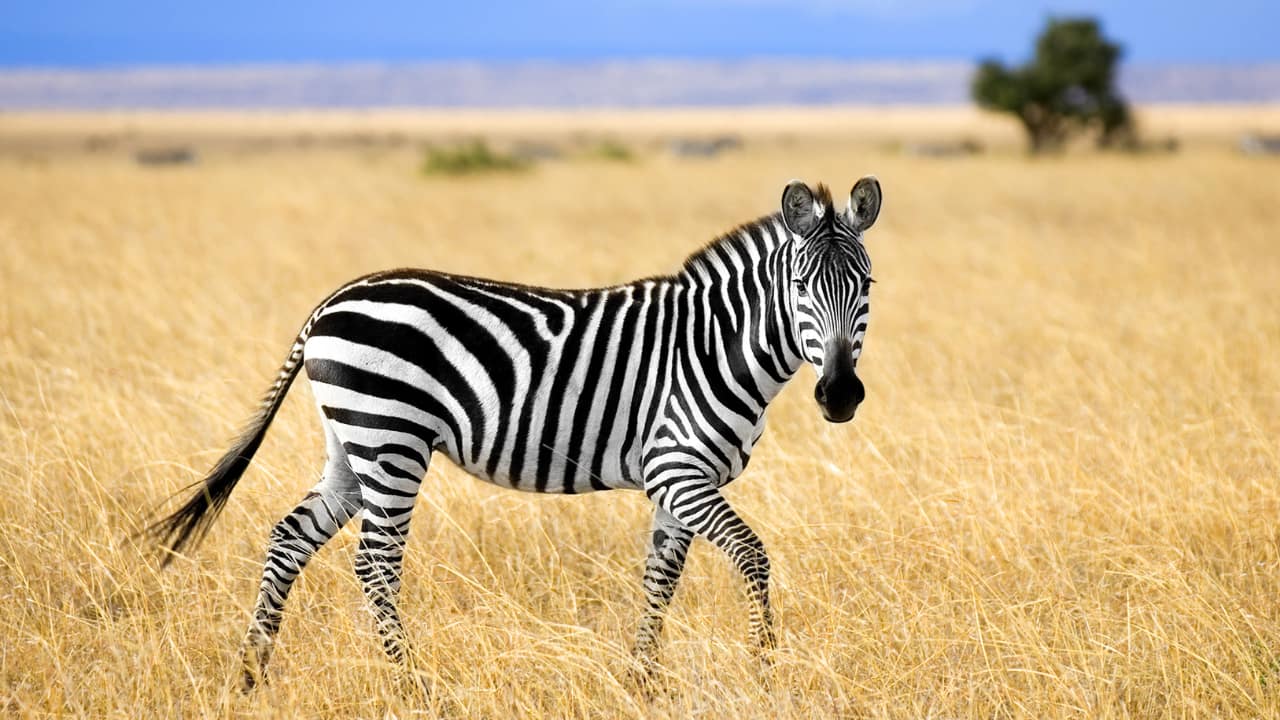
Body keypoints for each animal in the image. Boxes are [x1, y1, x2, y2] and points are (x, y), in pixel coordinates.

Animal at [147, 177, 882, 690]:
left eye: (867, 285)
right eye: (800, 285)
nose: (841, 395)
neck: (714, 344)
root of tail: (331, 301)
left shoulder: (679, 483)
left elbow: (660, 579)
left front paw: (642, 682)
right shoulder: (677, 468)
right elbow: (753, 556)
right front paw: (766, 669)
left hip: (351, 445)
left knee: (288, 538)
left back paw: (251, 674)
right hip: (392, 439)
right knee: (376, 564)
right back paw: (413, 686)